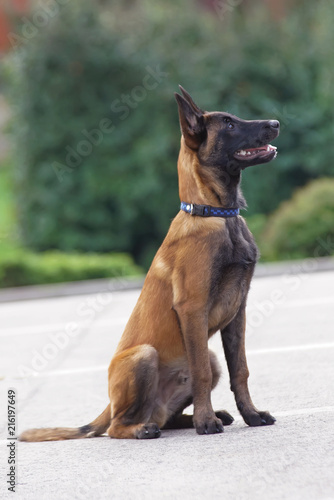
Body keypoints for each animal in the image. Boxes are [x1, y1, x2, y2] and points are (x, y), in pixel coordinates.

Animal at [18, 86, 280, 442]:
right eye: (228, 124)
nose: (276, 123)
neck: (215, 214)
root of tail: (109, 406)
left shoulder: (237, 312)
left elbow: (241, 370)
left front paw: (250, 415)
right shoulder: (192, 308)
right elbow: (199, 371)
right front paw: (206, 422)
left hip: (207, 361)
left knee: (168, 417)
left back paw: (207, 416)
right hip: (144, 356)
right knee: (116, 427)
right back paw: (150, 427)